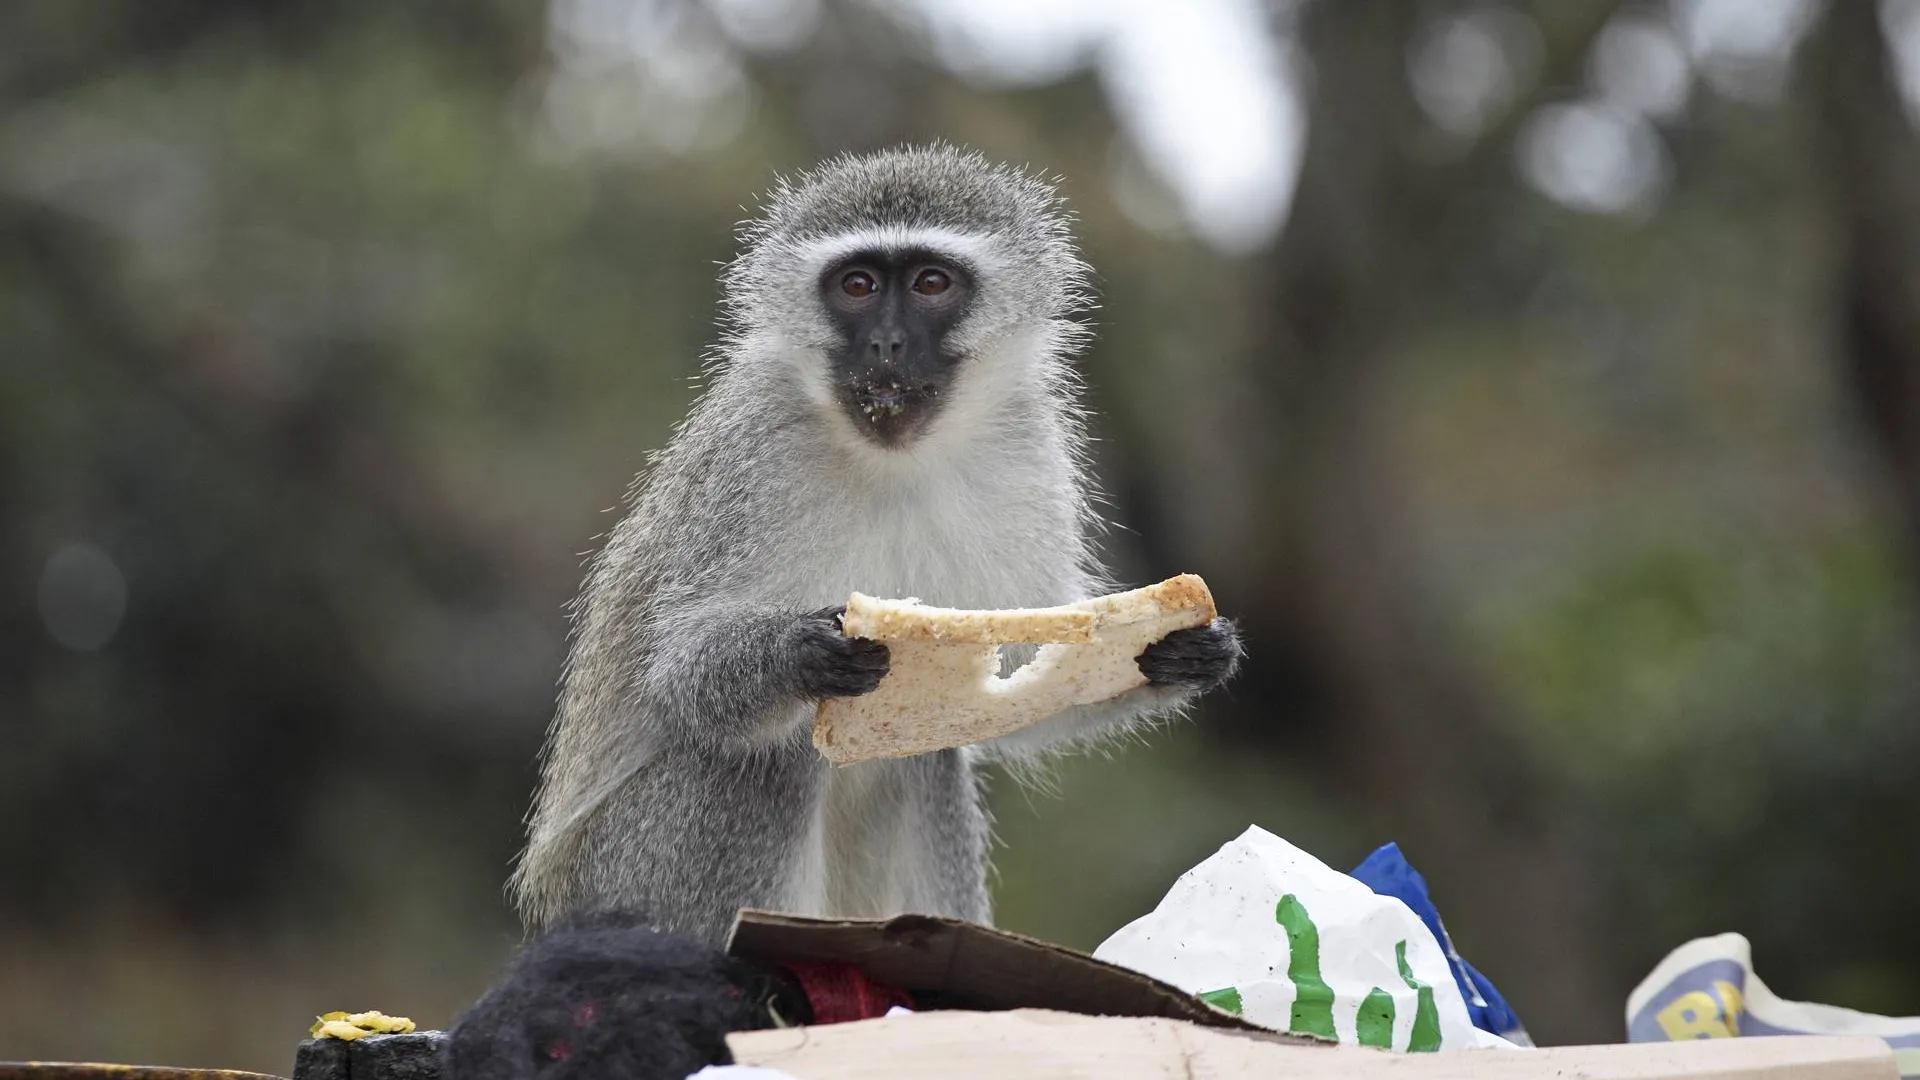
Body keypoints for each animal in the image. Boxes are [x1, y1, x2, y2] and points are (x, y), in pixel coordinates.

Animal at [514, 145, 1244, 941]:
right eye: (858, 286)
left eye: (930, 284)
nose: (887, 343)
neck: (894, 458)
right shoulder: (751, 457)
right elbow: (679, 675)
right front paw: (800, 650)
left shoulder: (1027, 450)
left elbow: (1025, 677)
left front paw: (1182, 653)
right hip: (628, 874)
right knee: (766, 760)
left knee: (927, 757)